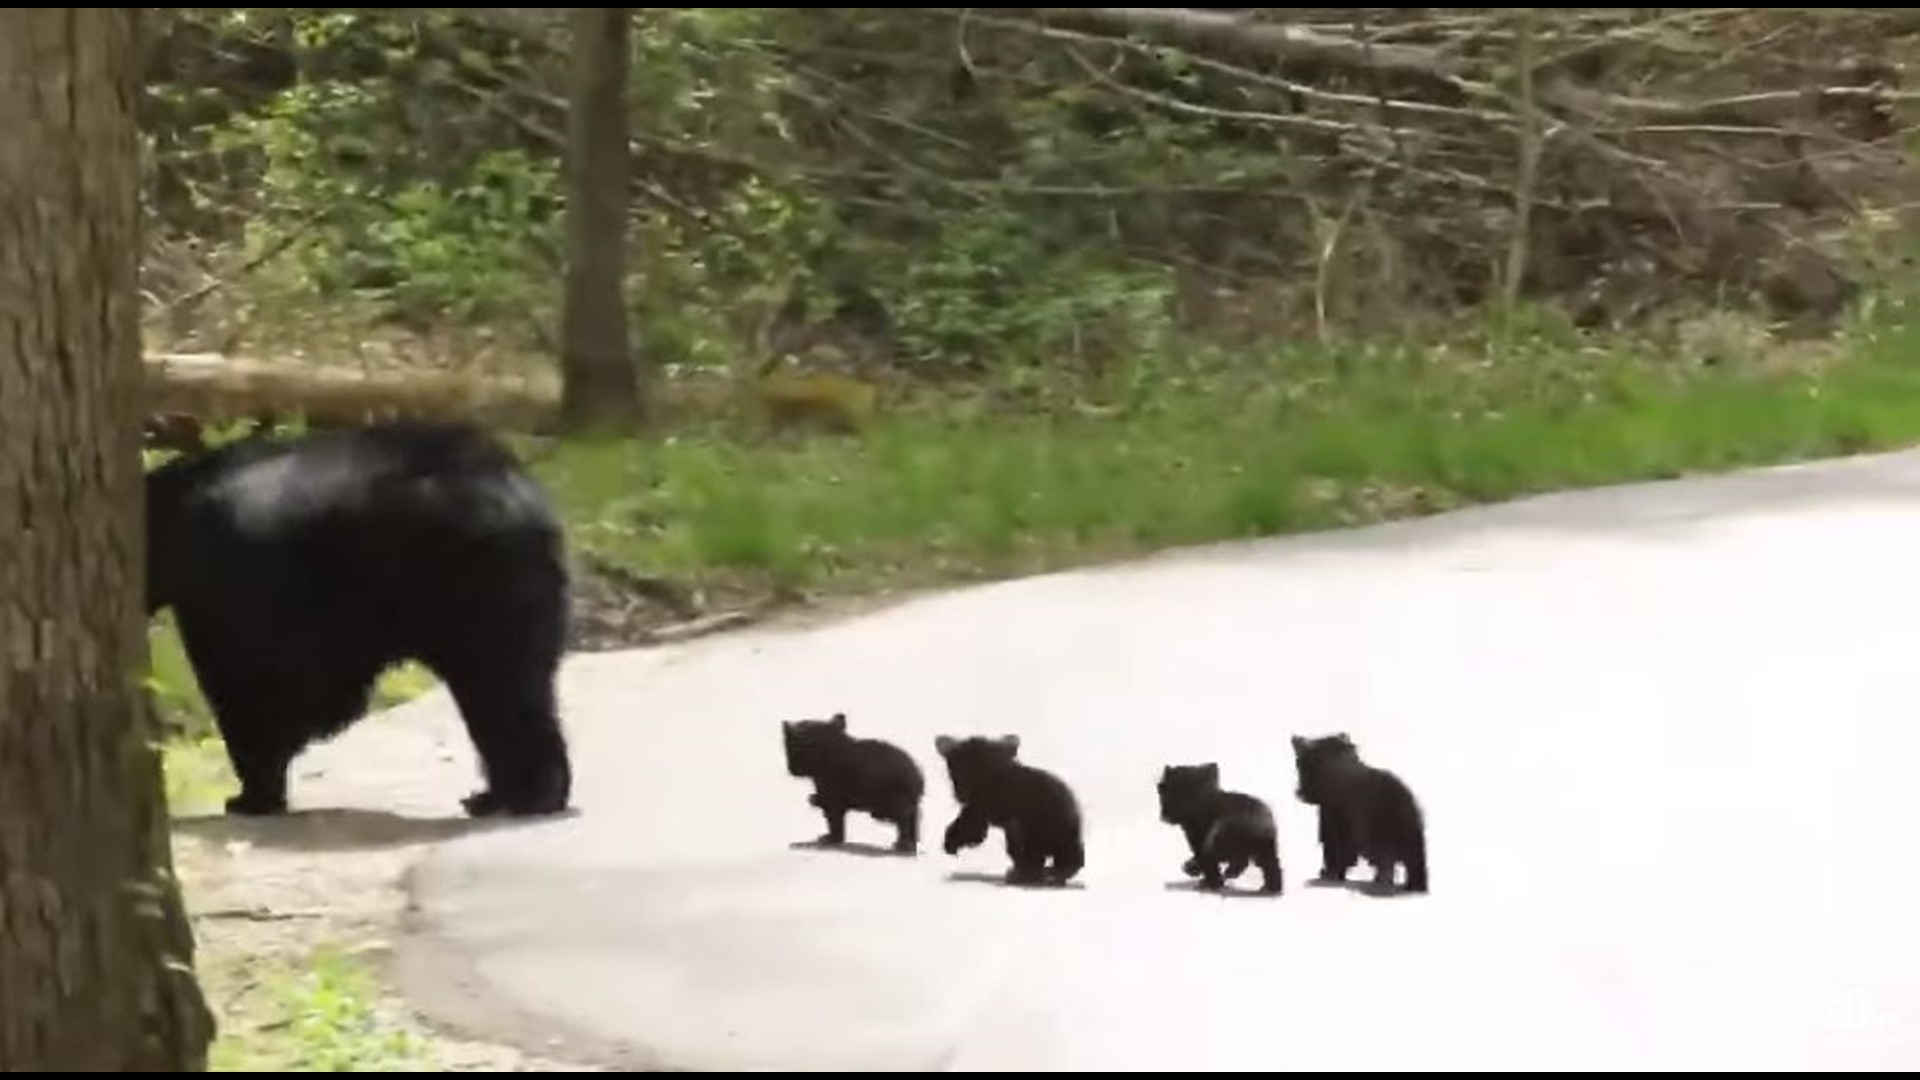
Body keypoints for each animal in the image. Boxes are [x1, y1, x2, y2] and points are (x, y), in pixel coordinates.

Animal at [144, 420, 573, 820]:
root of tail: (523, 496)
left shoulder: (225, 587)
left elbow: (248, 685)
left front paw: (252, 796)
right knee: (517, 689)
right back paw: (504, 795)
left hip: (474, 584)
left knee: (498, 686)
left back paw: (528, 796)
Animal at [781, 712, 924, 854]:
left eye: (791, 750)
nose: (791, 770)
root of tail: (917, 777)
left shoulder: (832, 798)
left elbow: (834, 820)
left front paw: (832, 839)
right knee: (913, 819)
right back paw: (911, 845)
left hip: (889, 806)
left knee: (905, 819)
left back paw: (904, 845)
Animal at [934, 734, 1084, 886]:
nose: (958, 795)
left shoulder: (982, 805)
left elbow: (971, 827)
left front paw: (951, 842)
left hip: (1045, 831)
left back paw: (1028, 874)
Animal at [1156, 762, 1284, 895]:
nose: (1165, 816)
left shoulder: (1202, 840)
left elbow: (1206, 860)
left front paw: (1202, 875)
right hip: (1263, 849)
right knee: (1269, 865)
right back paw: (1271, 888)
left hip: (1231, 841)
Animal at [1290, 733, 1427, 894]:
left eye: (1302, 769)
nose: (1299, 793)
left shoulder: (1342, 828)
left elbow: (1339, 854)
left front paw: (1331, 874)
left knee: (1391, 861)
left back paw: (1383, 884)